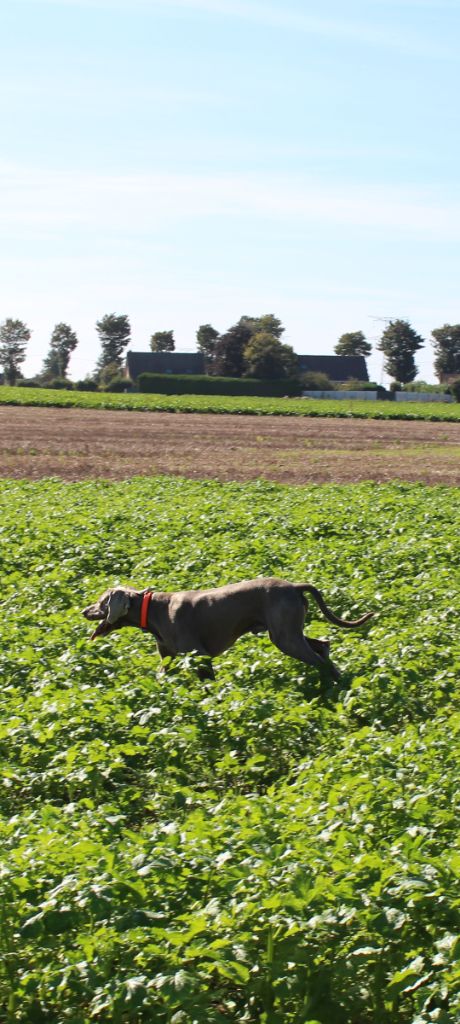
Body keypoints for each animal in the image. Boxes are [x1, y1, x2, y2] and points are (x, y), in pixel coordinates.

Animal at [80, 577, 370, 679]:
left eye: (102, 602)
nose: (83, 611)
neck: (154, 610)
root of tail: (295, 586)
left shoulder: (198, 655)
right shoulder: (169, 659)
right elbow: (161, 677)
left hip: (285, 637)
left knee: (319, 659)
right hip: (287, 633)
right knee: (324, 646)